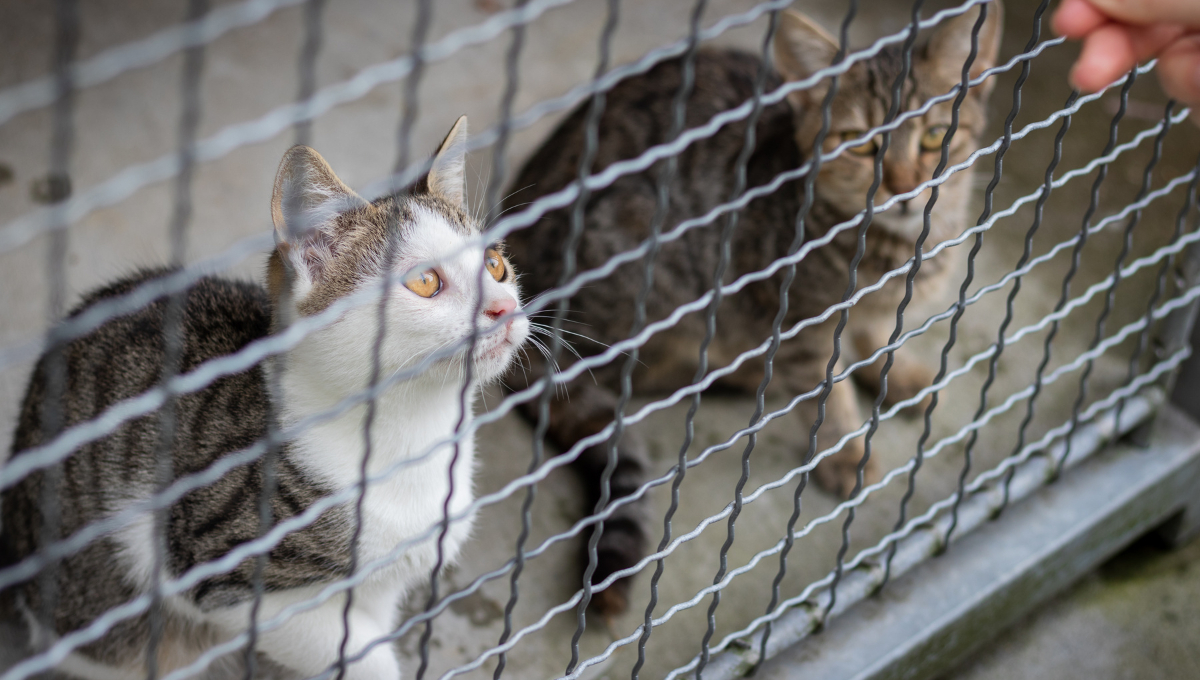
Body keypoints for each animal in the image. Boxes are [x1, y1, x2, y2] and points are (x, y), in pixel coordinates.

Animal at [2, 116, 530, 680]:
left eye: (495, 265)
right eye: (426, 281)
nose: (503, 309)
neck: (412, 431)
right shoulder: (223, 573)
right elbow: (360, 654)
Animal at [499, 5, 1003, 614]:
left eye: (934, 136)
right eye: (859, 145)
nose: (906, 187)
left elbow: (878, 335)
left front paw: (894, 372)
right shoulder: (797, 324)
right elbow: (829, 393)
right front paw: (845, 451)